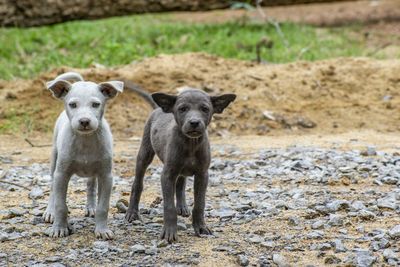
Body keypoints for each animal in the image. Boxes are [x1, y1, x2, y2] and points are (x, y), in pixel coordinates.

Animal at [43, 71, 122, 241]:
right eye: (73, 105)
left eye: (96, 104)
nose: (84, 121)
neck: (85, 140)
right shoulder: (62, 174)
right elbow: (61, 205)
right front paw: (59, 228)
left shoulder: (106, 176)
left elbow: (103, 207)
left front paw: (102, 230)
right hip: (54, 159)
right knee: (52, 188)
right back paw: (50, 211)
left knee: (91, 185)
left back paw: (91, 207)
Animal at [126, 88, 234, 243]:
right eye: (182, 109)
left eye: (205, 109)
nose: (194, 122)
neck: (190, 143)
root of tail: (159, 108)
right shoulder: (167, 175)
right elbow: (169, 206)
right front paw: (169, 232)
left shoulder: (202, 174)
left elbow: (199, 204)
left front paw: (200, 227)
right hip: (145, 153)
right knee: (137, 184)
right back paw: (132, 213)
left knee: (180, 183)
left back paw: (182, 207)